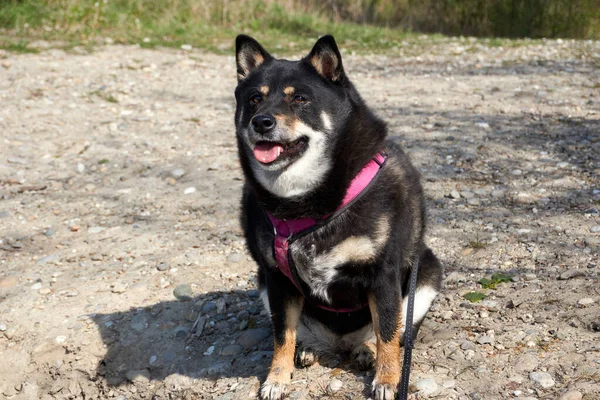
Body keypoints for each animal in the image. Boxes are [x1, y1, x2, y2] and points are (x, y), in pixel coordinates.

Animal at [232, 35, 442, 400]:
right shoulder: (276, 279)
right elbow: (281, 334)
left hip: (426, 273)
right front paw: (277, 377)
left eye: (300, 99)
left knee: (391, 330)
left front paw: (388, 379)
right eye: (255, 98)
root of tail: (339, 343)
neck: (305, 204)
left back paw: (367, 350)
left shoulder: (383, 275)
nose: (262, 121)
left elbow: (388, 331)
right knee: (299, 330)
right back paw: (308, 349)